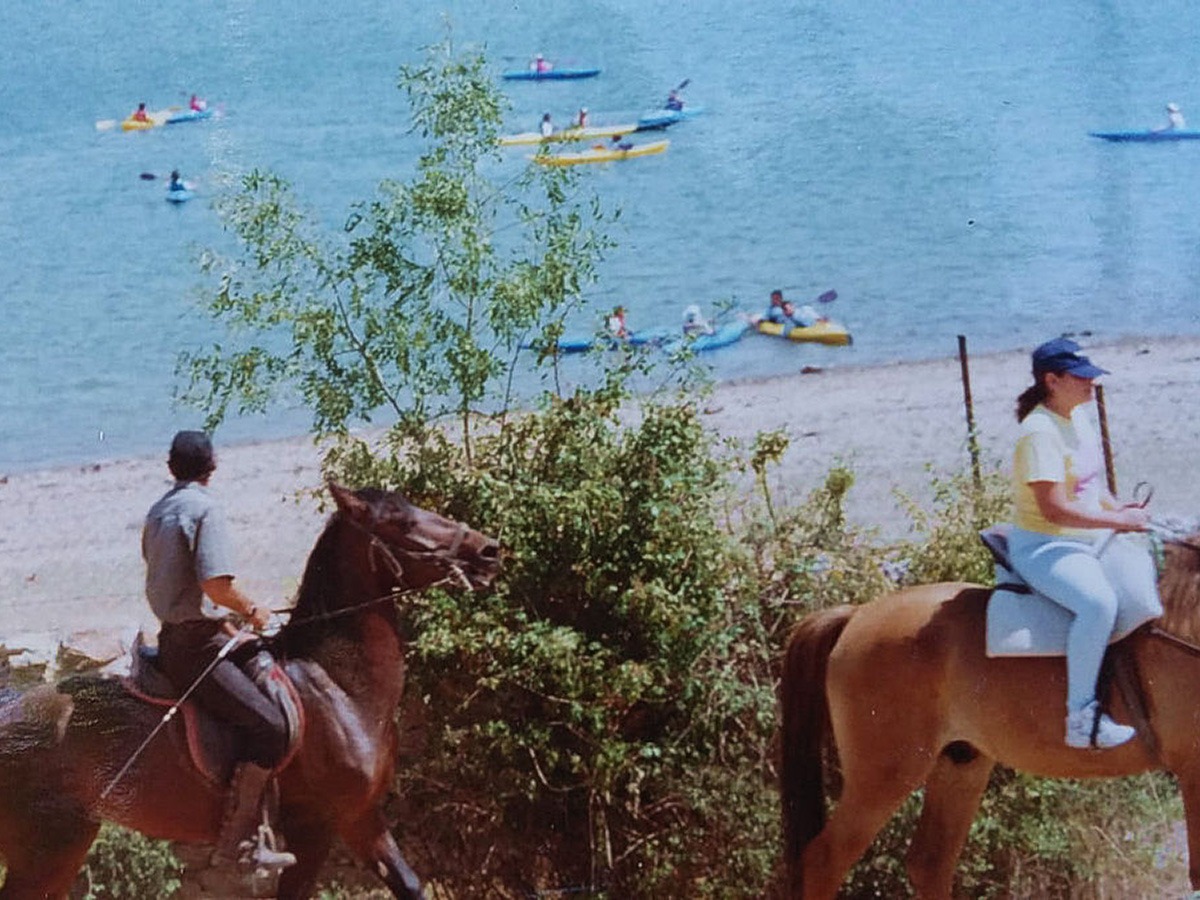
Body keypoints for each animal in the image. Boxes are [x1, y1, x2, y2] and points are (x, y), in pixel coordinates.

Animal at [0, 482, 501, 897]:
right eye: (403, 522)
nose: (489, 551)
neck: (339, 686)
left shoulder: (361, 817)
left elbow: (410, 884)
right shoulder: (315, 826)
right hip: (48, 847)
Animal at [777, 532, 1200, 897]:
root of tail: (857, 615)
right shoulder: (1192, 770)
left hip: (959, 765)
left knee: (929, 863)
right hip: (883, 777)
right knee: (824, 863)